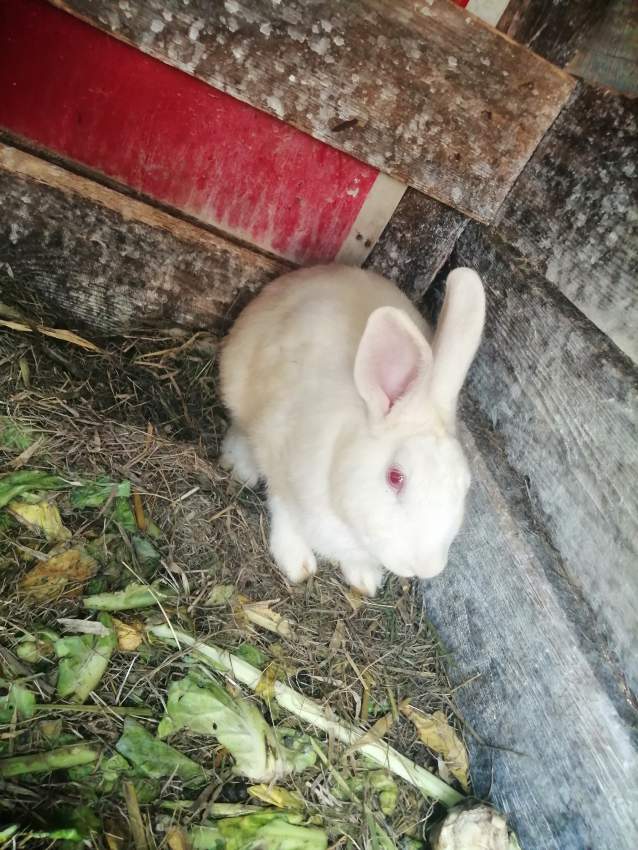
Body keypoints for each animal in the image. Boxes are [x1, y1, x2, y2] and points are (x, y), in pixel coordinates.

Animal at [219, 264, 485, 597]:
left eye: (465, 485)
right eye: (395, 477)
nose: (427, 568)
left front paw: (365, 579)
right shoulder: (278, 455)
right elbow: (283, 509)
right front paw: (296, 562)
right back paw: (240, 465)